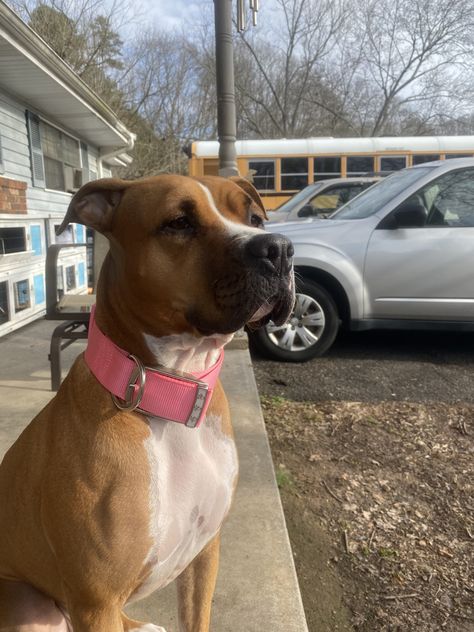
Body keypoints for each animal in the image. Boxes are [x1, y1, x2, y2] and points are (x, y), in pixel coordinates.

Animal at [0, 174, 294, 632]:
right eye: (178, 222)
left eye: (255, 218)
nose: (278, 248)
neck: (171, 391)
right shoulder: (95, 601)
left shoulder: (203, 555)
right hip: (29, 606)